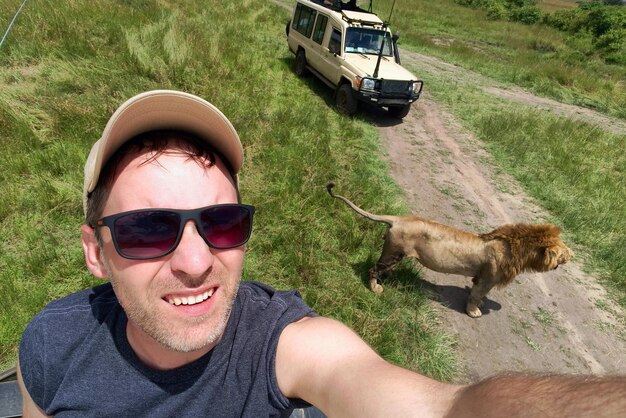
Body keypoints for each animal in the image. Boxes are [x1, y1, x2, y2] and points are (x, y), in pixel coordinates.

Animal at [324, 183, 572, 316]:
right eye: (563, 252)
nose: (573, 255)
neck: (517, 249)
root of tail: (398, 219)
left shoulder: (481, 277)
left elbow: (478, 293)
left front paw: (481, 304)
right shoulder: (488, 277)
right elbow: (476, 295)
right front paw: (474, 311)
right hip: (393, 252)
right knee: (374, 269)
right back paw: (375, 287)